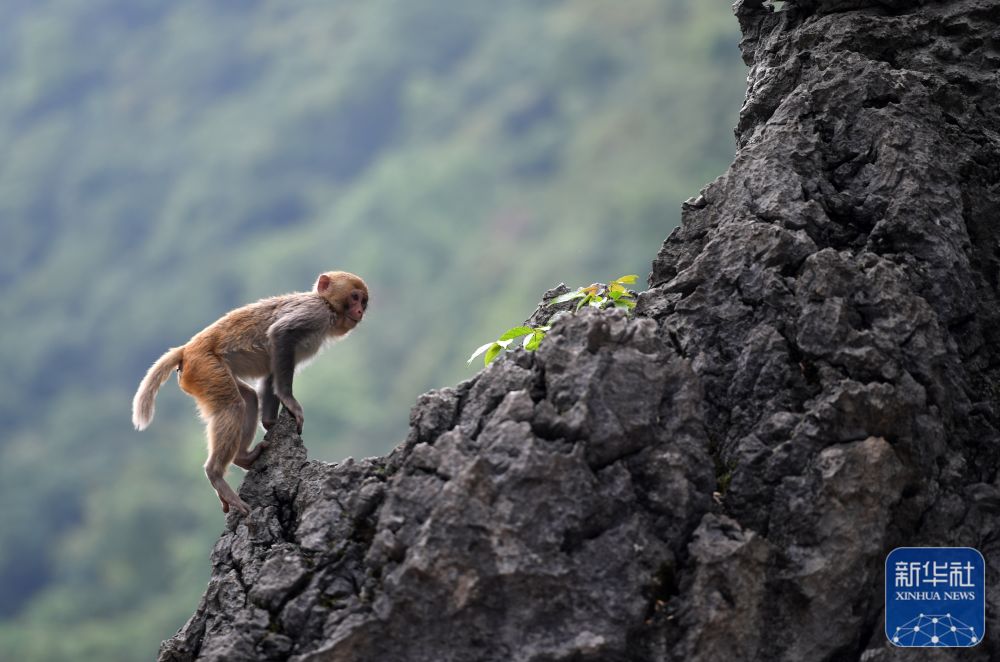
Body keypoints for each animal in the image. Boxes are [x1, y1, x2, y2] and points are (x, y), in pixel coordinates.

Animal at [132, 272, 368, 520]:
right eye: (354, 297)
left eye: (364, 301)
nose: (359, 311)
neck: (328, 307)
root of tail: (186, 349)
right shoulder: (314, 312)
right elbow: (280, 334)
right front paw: (289, 400)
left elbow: (272, 374)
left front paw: (270, 422)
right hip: (205, 367)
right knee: (233, 405)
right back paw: (216, 474)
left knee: (249, 398)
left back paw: (242, 457)